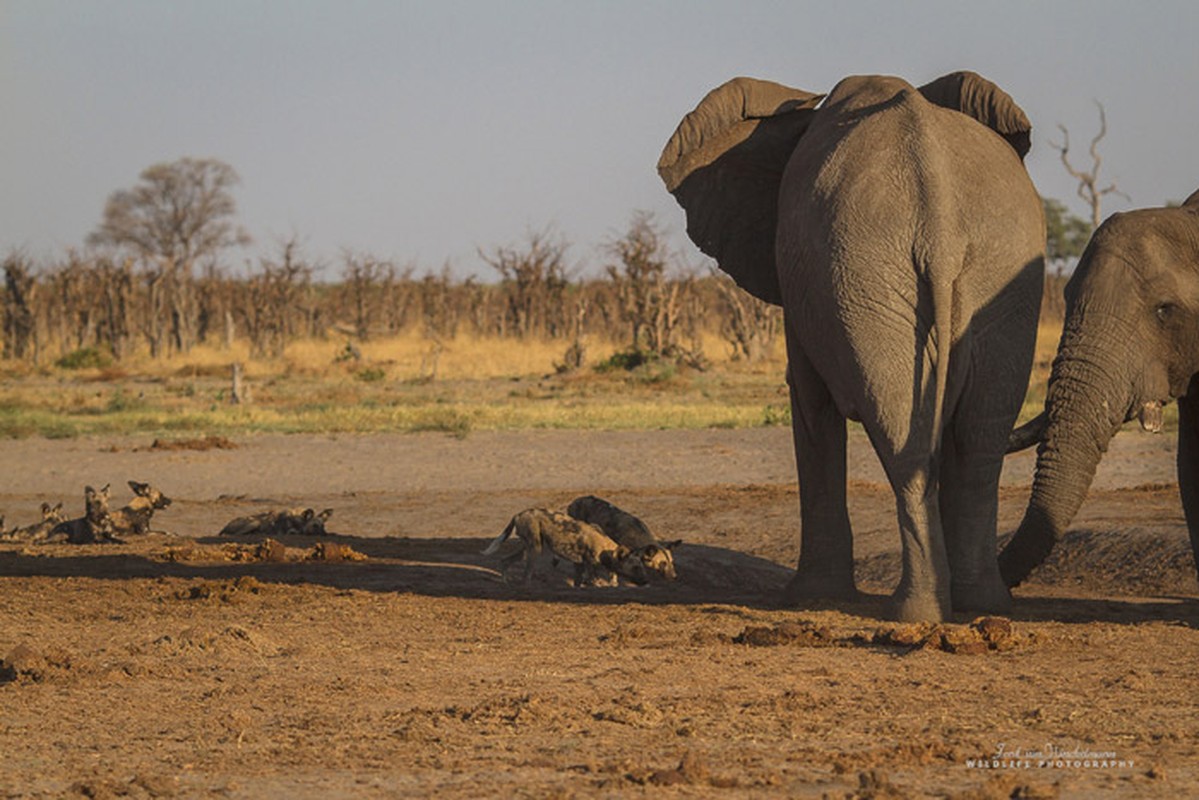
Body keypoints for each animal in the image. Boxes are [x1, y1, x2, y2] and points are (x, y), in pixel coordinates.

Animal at [479, 506, 652, 587]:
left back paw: (505, 583)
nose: (646, 581)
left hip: (527, 548)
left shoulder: (579, 564)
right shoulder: (590, 568)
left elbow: (578, 583)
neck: (606, 549)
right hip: (535, 549)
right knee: (526, 575)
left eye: (642, 566)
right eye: (635, 567)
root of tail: (519, 514)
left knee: (505, 561)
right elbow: (593, 582)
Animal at [661, 71, 1045, 623]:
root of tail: (941, 227)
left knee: (906, 440)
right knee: (977, 438)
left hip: (870, 274)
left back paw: (915, 613)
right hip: (994, 277)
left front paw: (809, 598)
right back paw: (979, 606)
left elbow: (809, 405)